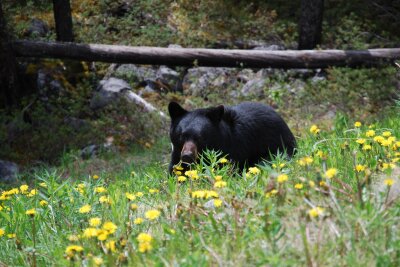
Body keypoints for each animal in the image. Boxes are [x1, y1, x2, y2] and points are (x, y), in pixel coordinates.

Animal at [167, 102, 296, 174]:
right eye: (181, 136)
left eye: (200, 138)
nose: (187, 156)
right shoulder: (177, 154)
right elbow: (176, 170)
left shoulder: (232, 150)